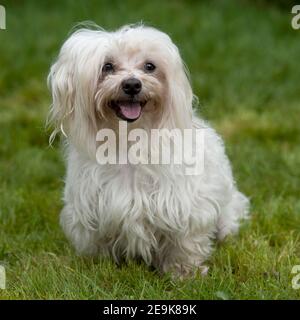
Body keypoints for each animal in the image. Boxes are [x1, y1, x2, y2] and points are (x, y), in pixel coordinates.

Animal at [47, 23, 248, 276]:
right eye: (107, 66)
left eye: (150, 66)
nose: (133, 84)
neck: (129, 141)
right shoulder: (92, 210)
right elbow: (99, 244)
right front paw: (101, 267)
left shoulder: (183, 206)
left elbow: (184, 243)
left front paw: (184, 272)